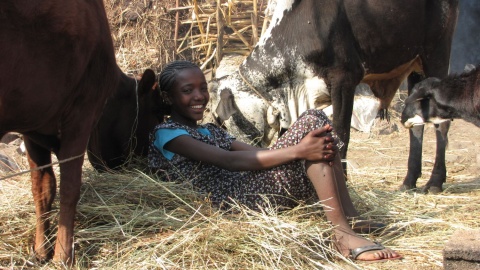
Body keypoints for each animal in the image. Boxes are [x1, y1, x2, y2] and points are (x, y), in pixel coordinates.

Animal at [0, 0, 120, 266]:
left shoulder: (33, 128)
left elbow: (42, 188)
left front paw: (41, 250)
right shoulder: (81, 113)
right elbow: (69, 187)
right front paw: (62, 256)